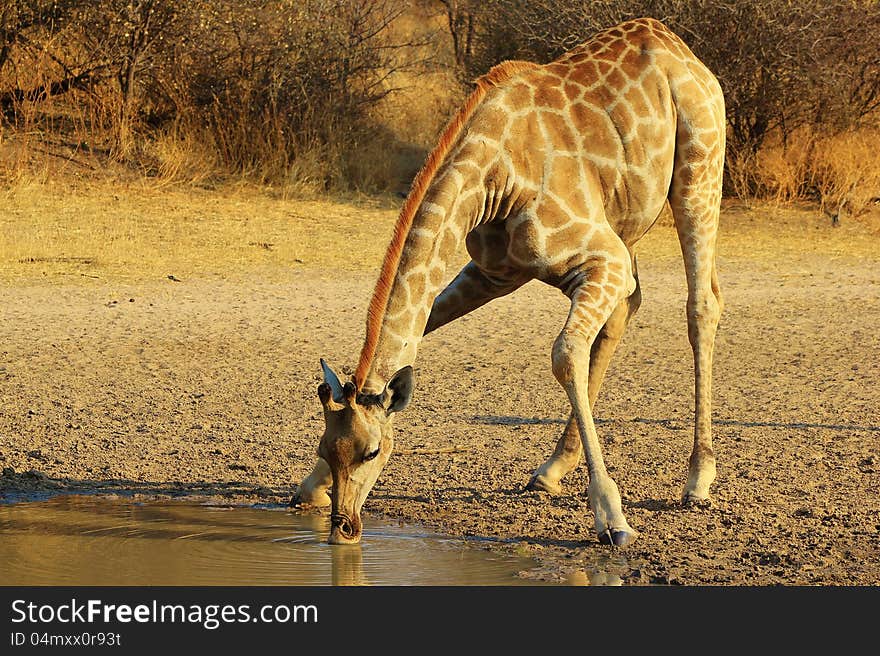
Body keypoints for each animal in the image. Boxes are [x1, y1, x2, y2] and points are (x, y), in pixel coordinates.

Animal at [292, 16, 724, 548]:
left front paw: (613, 518)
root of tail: (677, 45)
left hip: (699, 172)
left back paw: (697, 479)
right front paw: (308, 487)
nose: (345, 528)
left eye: (373, 451)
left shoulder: (602, 258)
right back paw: (551, 469)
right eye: (326, 448)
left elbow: (564, 355)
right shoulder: (496, 271)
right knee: (628, 308)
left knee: (701, 305)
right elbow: (425, 324)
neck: (493, 179)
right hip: (624, 220)